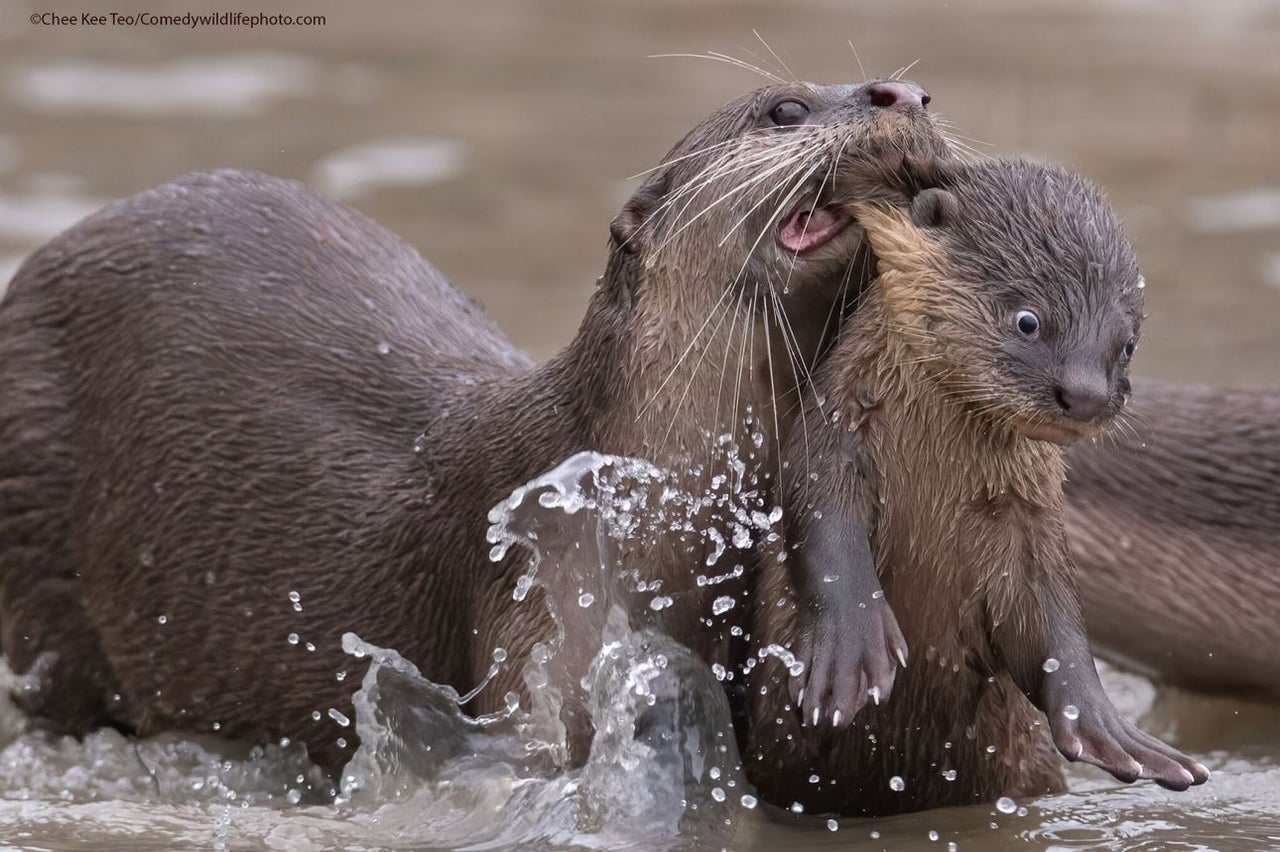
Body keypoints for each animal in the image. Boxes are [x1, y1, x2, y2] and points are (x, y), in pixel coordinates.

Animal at [747, 156, 1203, 813]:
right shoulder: (832, 438)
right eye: (1029, 320)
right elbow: (823, 527)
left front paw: (1107, 727)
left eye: (1126, 344)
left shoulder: (1028, 517)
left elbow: (1053, 618)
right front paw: (850, 652)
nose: (1087, 395)